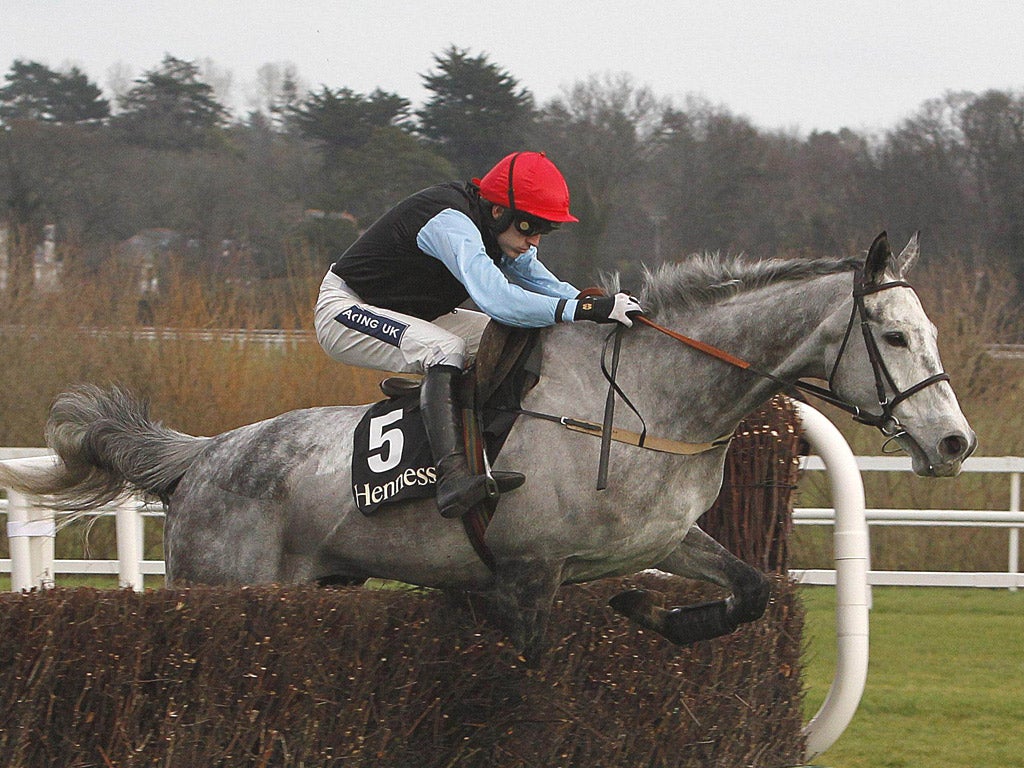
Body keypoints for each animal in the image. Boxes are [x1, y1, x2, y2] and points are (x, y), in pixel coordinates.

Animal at [0, 233, 974, 663]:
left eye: (927, 332)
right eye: (894, 337)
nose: (955, 441)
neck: (653, 400)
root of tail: (198, 458)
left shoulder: (663, 541)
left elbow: (750, 593)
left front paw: (650, 614)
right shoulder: (531, 573)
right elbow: (531, 658)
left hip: (314, 585)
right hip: (222, 589)